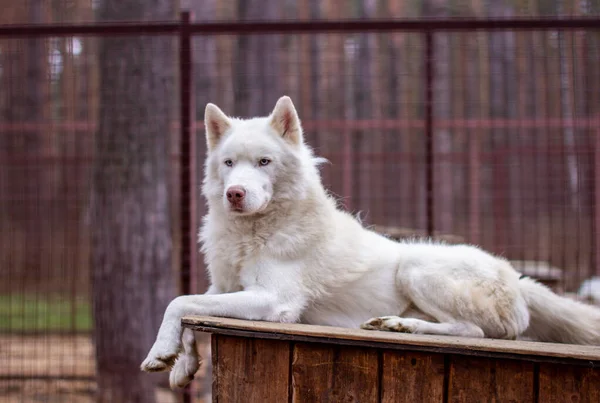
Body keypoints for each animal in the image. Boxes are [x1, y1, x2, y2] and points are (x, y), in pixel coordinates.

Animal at [142, 95, 600, 388]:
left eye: (264, 162)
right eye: (228, 163)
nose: (234, 194)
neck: (254, 233)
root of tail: (516, 276)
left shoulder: (274, 301)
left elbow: (179, 302)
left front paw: (160, 353)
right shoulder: (223, 287)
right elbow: (191, 309)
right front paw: (181, 366)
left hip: (415, 267)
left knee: (474, 332)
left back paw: (402, 325)